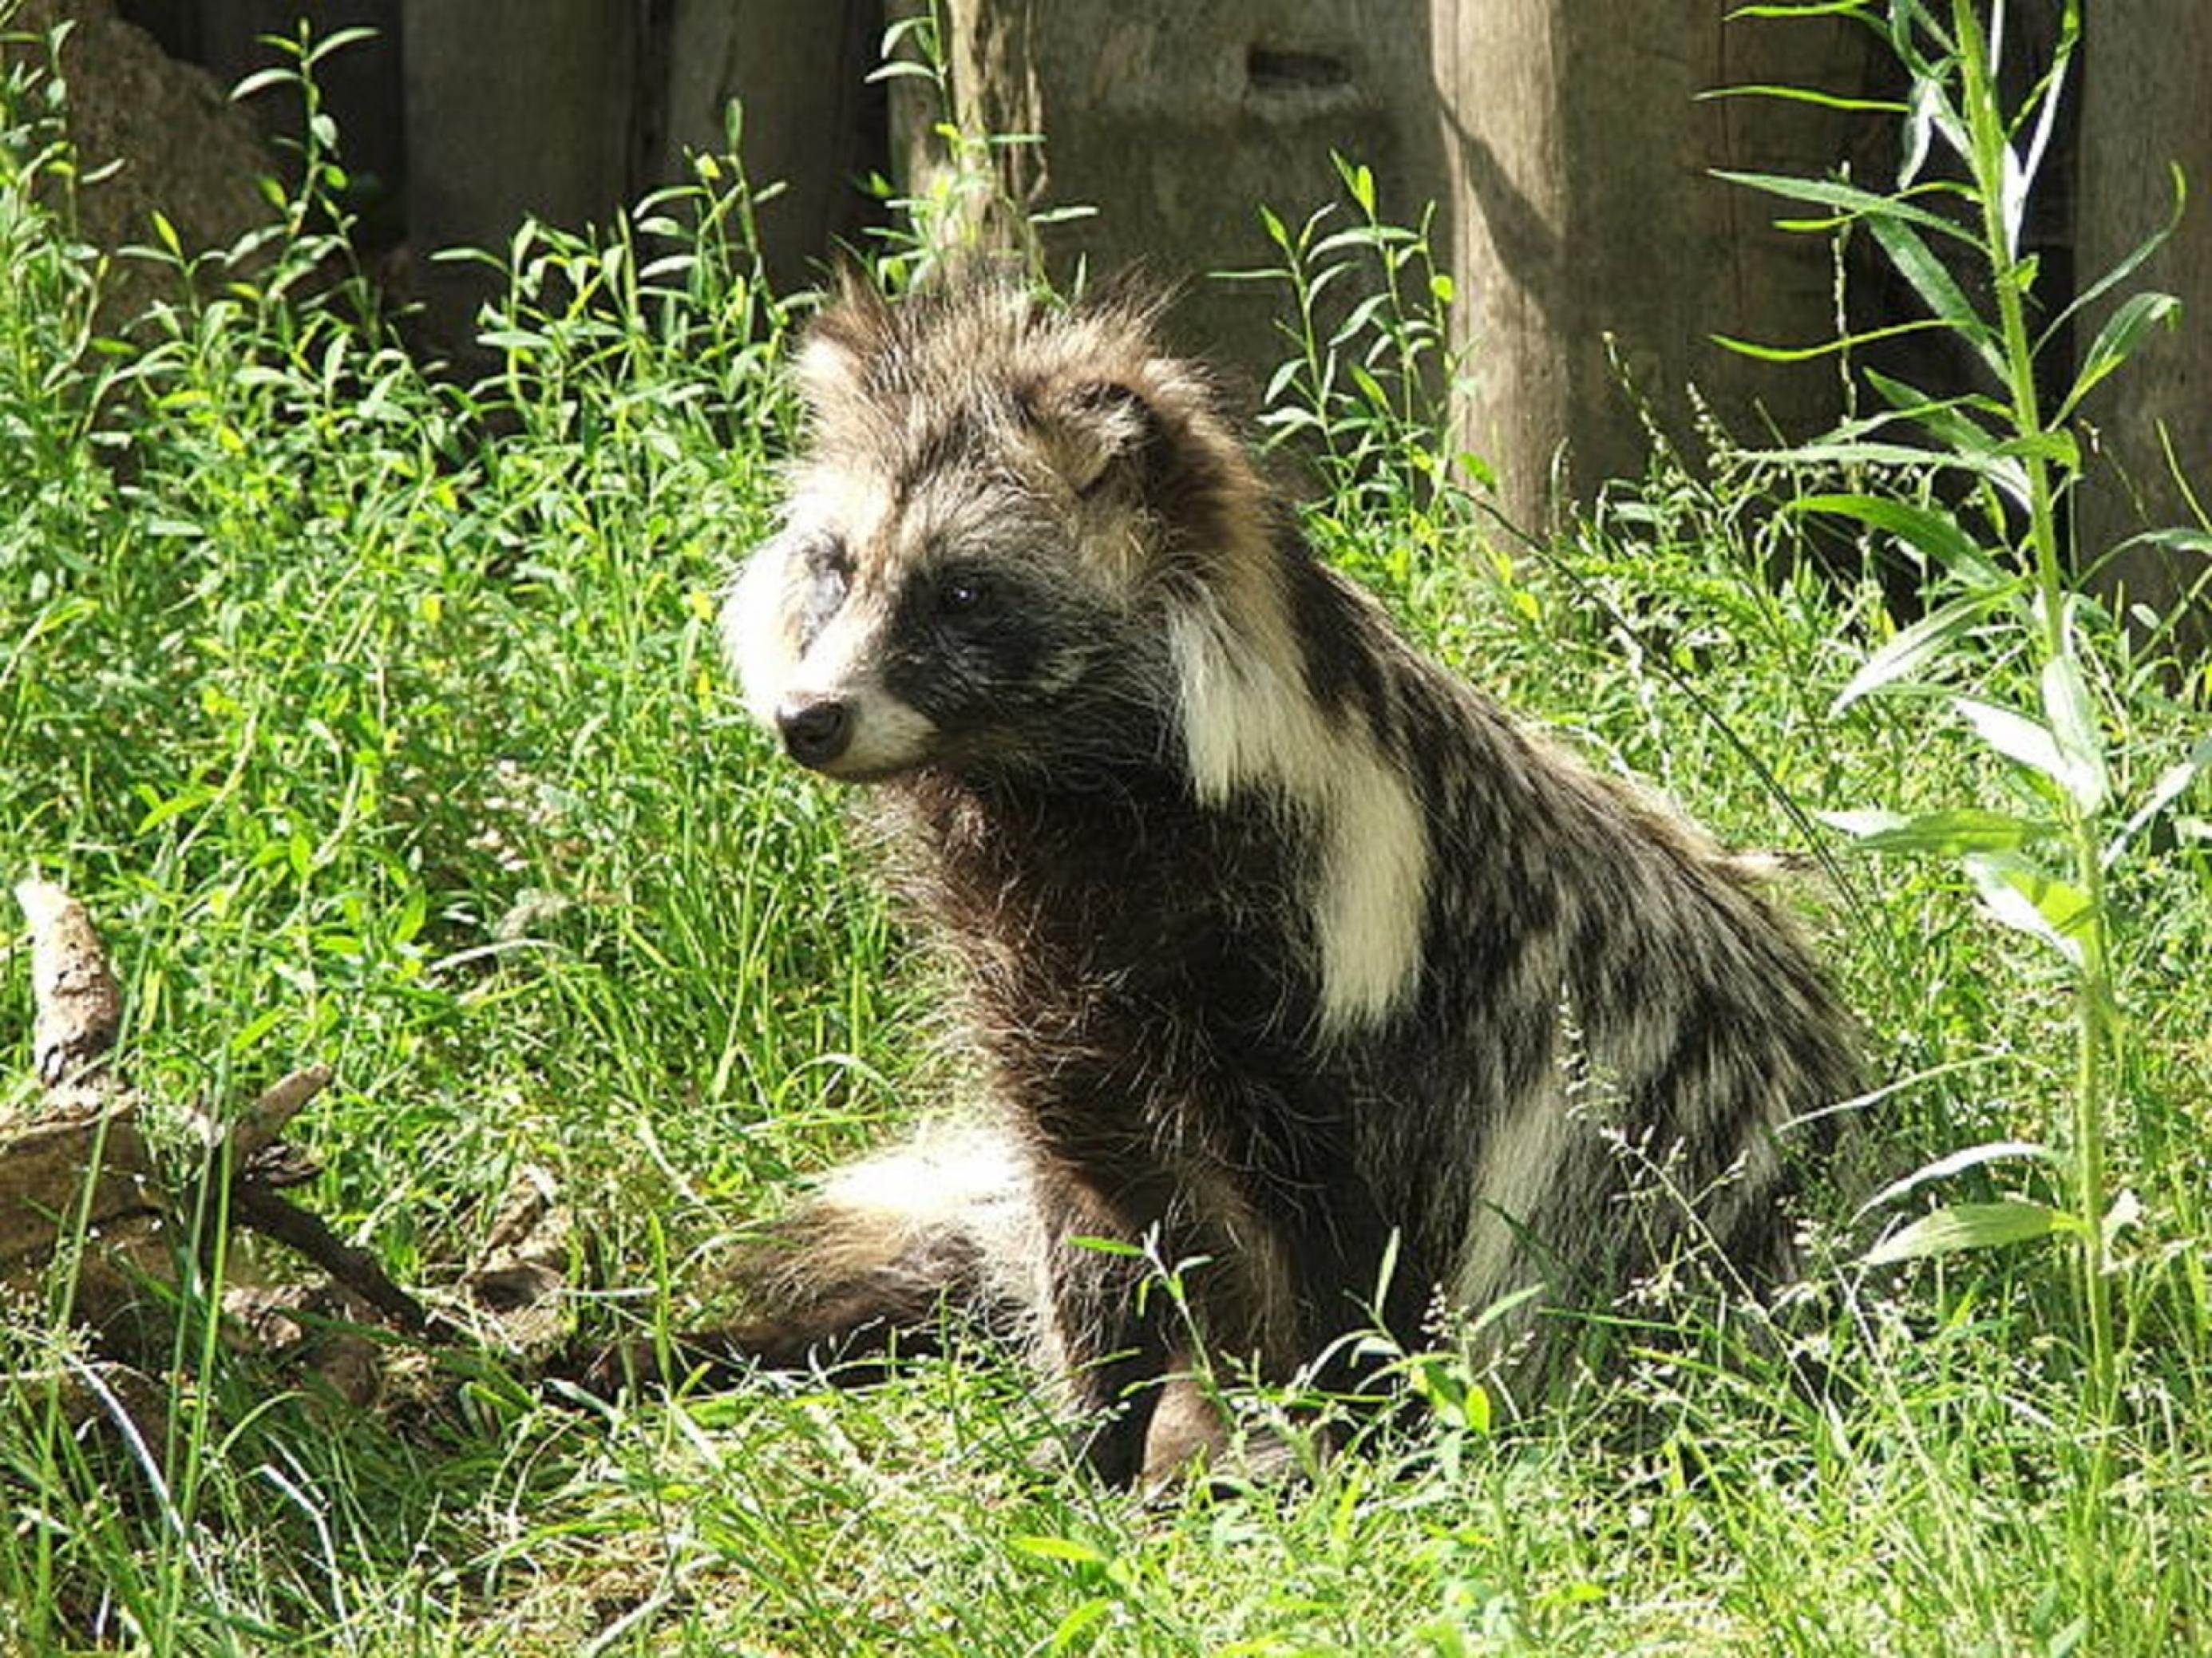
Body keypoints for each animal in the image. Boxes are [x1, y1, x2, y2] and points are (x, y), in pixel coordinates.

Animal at [686, 273, 1849, 1494]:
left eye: (963, 592)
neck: (1062, 803)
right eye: (835, 564)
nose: (808, 717)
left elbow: (1361, 1246)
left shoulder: (1348, 990)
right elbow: (1095, 1227)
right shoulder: (1052, 1007)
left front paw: (1339, 1440)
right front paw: (1090, 1442)